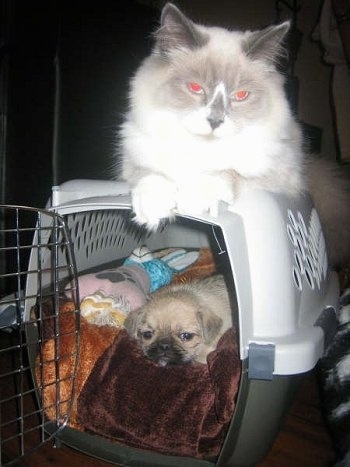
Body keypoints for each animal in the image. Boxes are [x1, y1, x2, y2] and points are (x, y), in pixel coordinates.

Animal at [118, 2, 350, 266]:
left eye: (240, 95)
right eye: (195, 88)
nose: (215, 121)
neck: (200, 149)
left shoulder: (275, 171)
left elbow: (227, 173)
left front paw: (192, 198)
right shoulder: (133, 160)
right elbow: (150, 174)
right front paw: (152, 209)